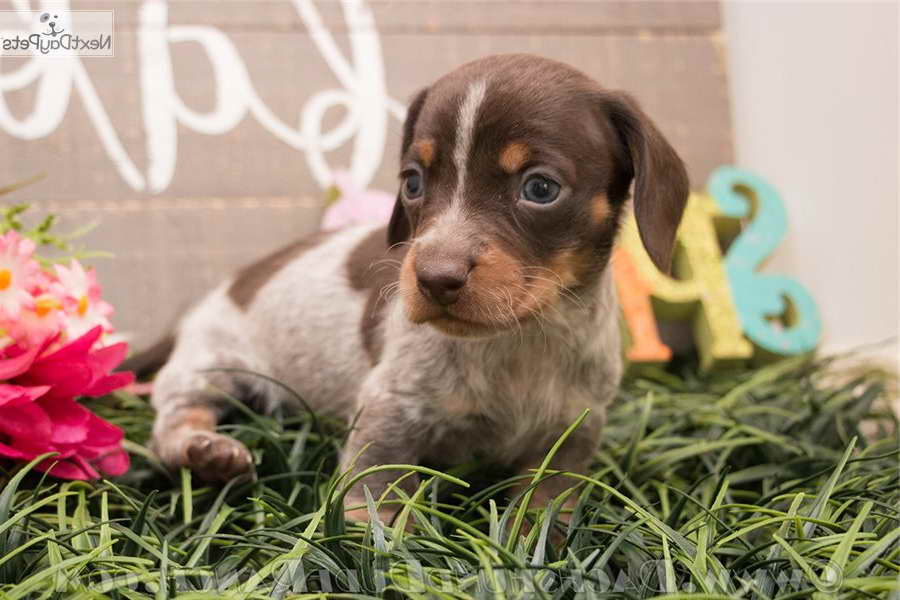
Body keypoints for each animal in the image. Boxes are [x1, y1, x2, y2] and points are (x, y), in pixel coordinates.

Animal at [144, 54, 688, 524]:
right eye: (412, 182)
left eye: (540, 188)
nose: (433, 279)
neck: (520, 341)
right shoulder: (390, 409)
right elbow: (372, 491)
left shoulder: (573, 429)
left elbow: (547, 501)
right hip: (212, 363)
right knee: (175, 414)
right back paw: (202, 451)